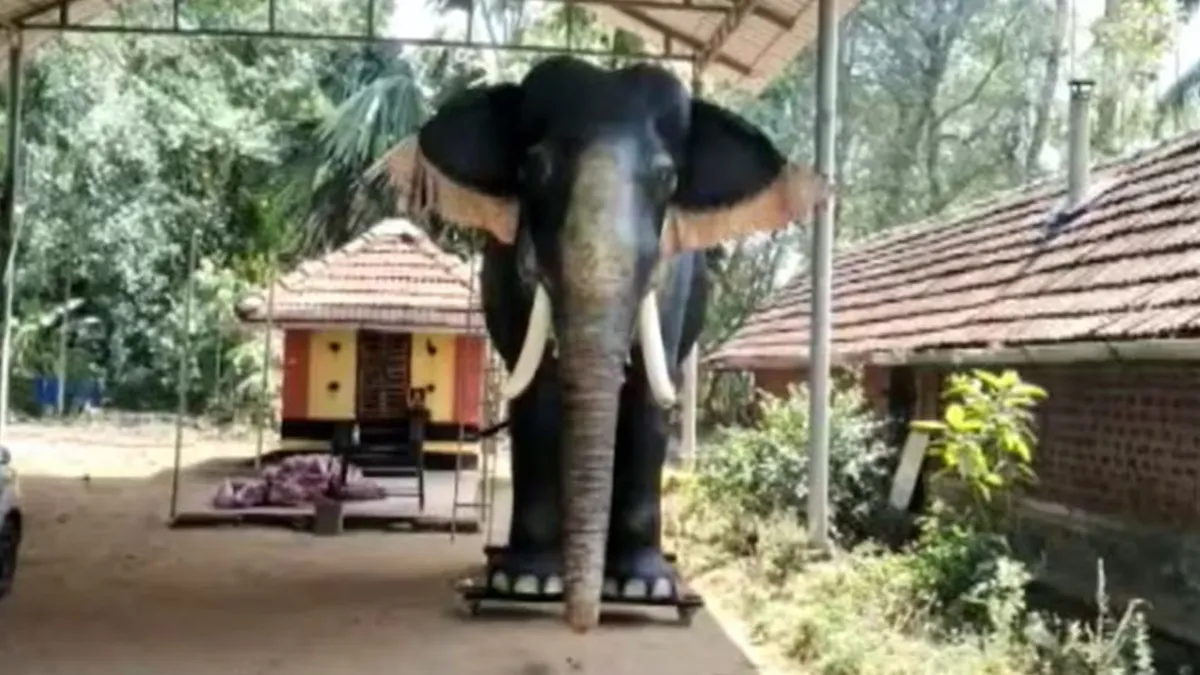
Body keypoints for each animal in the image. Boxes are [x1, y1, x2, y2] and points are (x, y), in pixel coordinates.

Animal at [379, 55, 830, 629]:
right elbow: (538, 395)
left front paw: (643, 587)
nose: (581, 625)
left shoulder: (672, 284)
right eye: (533, 171)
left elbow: (647, 401)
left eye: (667, 178)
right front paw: (525, 581)